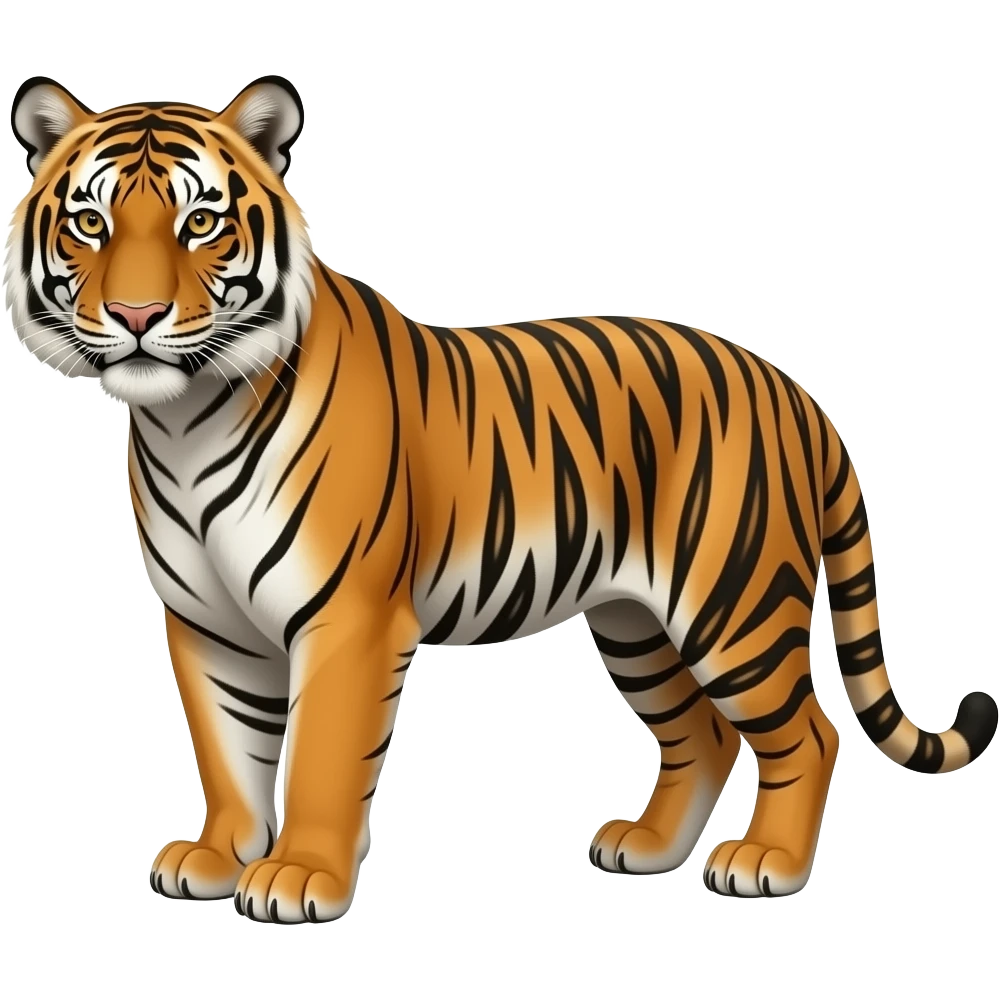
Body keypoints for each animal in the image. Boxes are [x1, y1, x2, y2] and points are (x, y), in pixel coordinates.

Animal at [4, 73, 997, 925]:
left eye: (201, 221)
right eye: (89, 222)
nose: (136, 317)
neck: (186, 419)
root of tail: (793, 389)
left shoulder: (348, 618)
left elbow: (318, 753)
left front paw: (299, 877)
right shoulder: (207, 622)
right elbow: (227, 750)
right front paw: (216, 858)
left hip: (734, 604)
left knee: (810, 733)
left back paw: (767, 865)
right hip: (637, 622)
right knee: (704, 736)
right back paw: (646, 848)